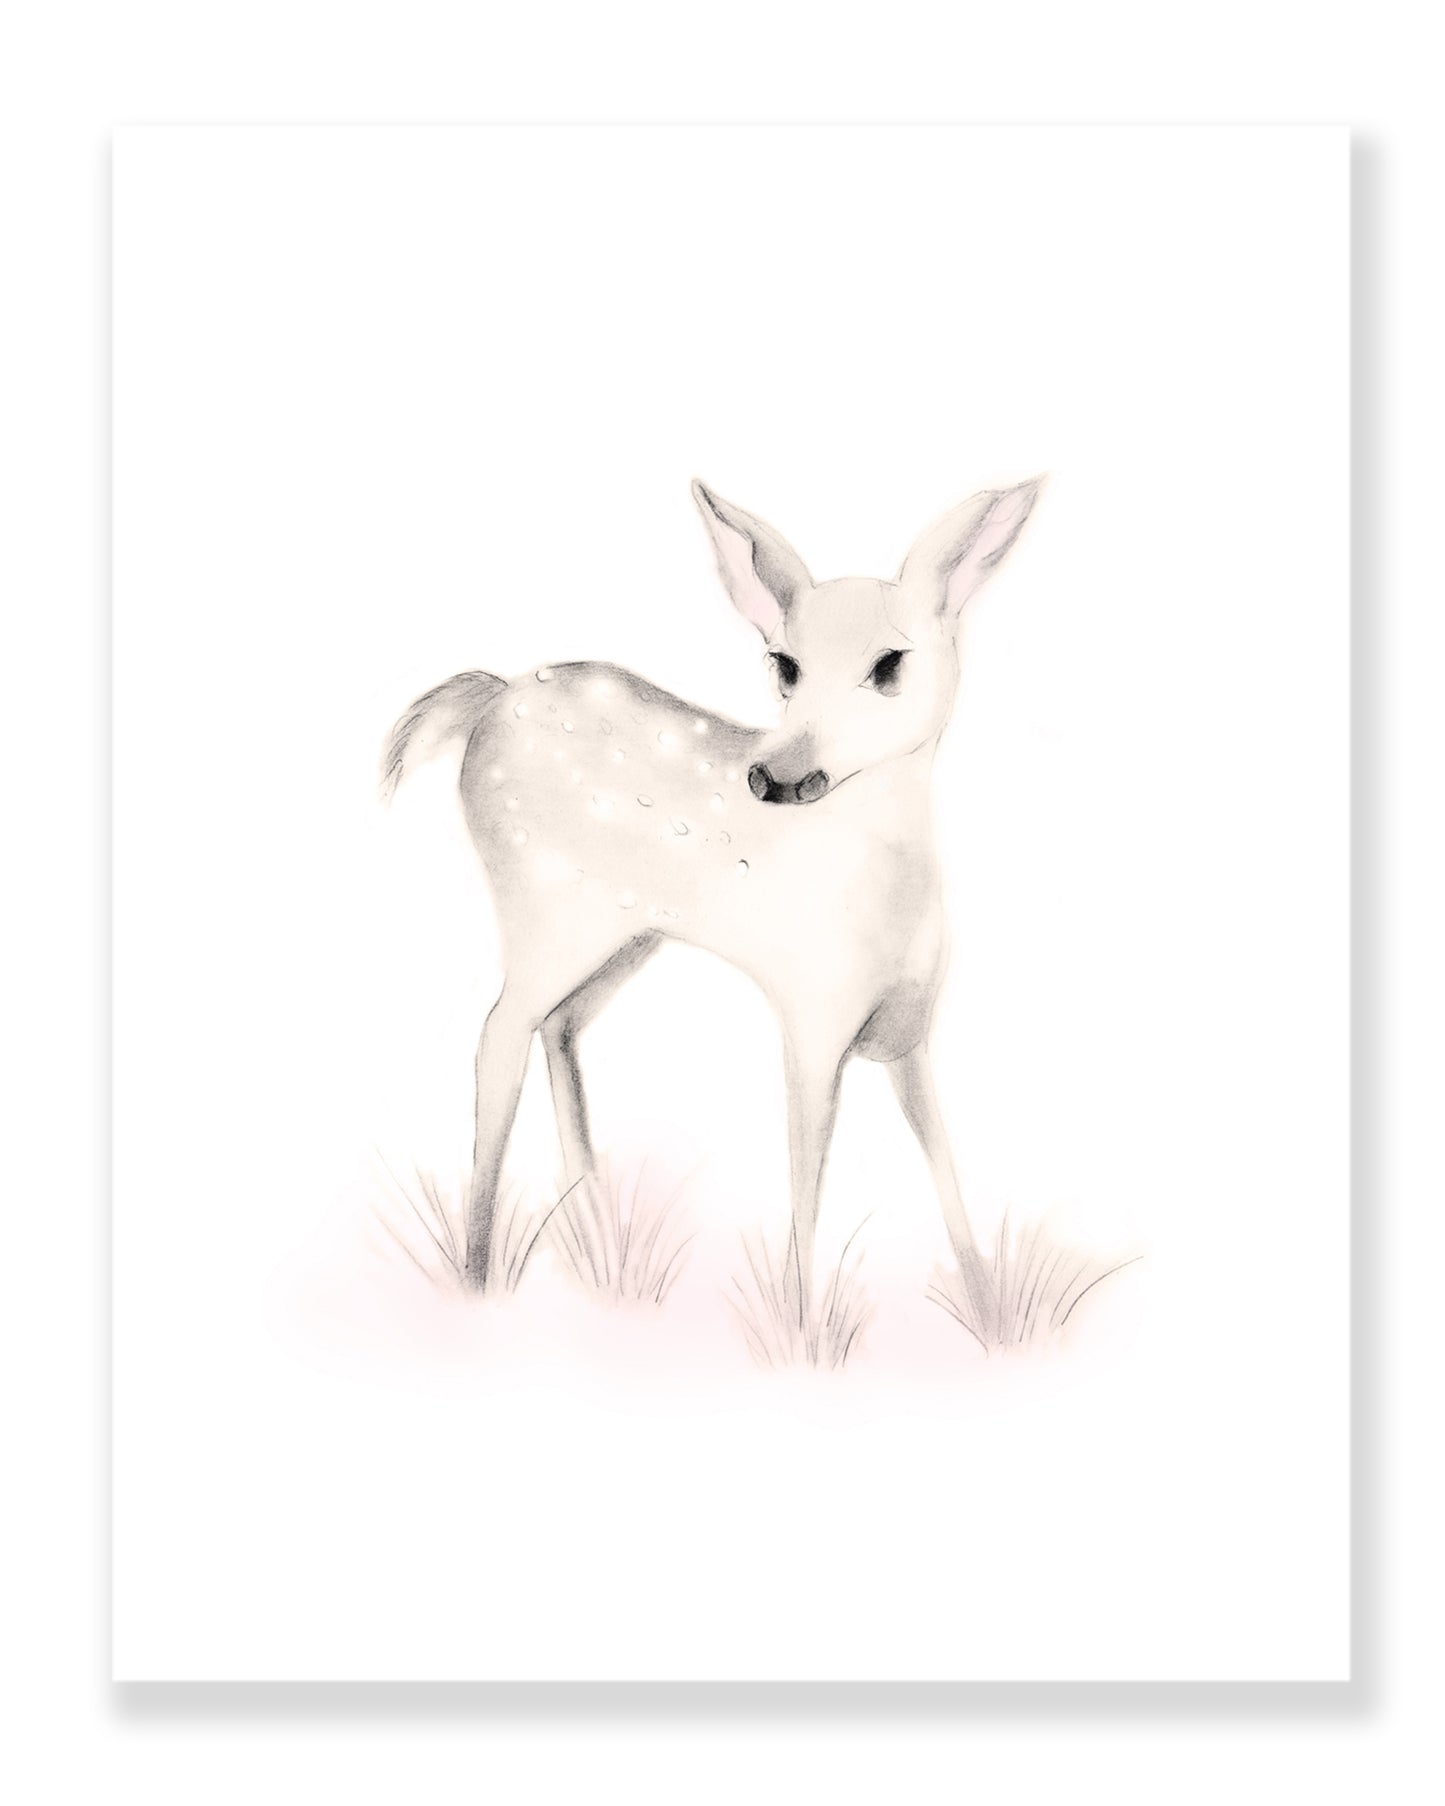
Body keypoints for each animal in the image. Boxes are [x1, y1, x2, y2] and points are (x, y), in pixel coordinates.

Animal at [383, 476, 1043, 1346]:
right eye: (784, 663)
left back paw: (592, 1232)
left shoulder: (908, 1033)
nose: (776, 776)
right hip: (539, 901)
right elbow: (805, 1176)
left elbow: (943, 1165)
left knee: (557, 1026)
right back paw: (477, 1275)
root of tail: (490, 696)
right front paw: (802, 1333)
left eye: (889, 663)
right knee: (499, 1030)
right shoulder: (809, 1018)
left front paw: (989, 1315)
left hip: (627, 933)